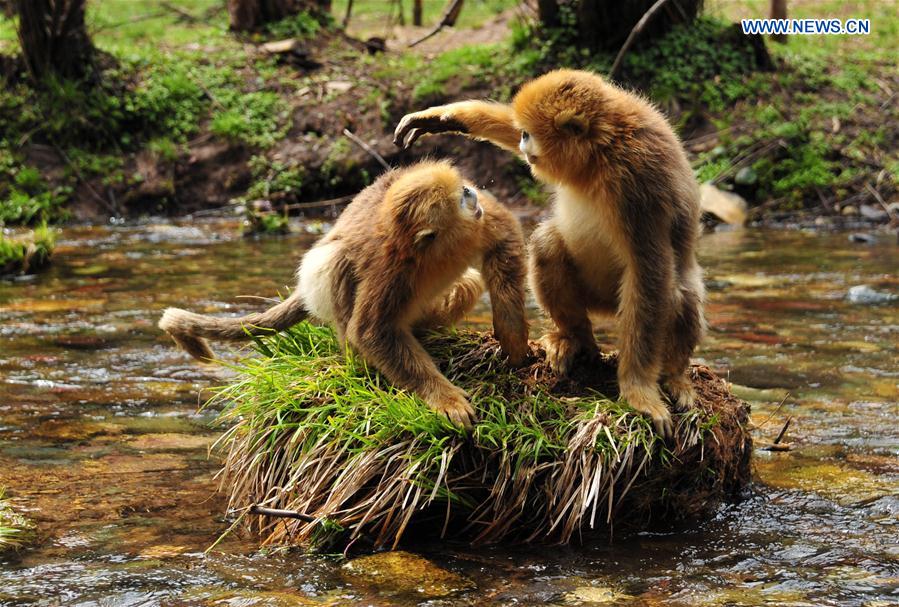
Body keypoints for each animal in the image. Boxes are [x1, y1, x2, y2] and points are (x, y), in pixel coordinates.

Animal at [159, 160, 532, 428]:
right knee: (335, 261)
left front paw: (512, 338)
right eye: (461, 197)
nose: (471, 192)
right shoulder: (391, 271)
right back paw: (357, 360)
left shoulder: (475, 228)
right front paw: (445, 399)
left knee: (466, 284)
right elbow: (371, 331)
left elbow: (504, 238)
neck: (432, 253)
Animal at [394, 70, 704, 436]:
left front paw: (639, 391)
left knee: (677, 291)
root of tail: (607, 309)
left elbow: (649, 269)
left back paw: (675, 376)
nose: (524, 144)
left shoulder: (638, 181)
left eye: (529, 135)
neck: (602, 152)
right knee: (547, 243)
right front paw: (444, 116)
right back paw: (575, 339)